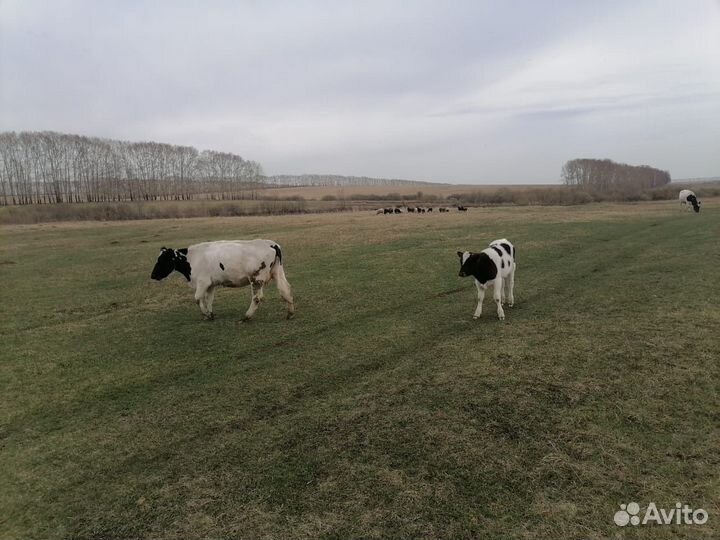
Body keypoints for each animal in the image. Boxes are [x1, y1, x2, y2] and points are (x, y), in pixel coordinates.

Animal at [151, 239, 295, 322]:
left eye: (163, 260)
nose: (152, 275)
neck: (192, 258)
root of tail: (272, 244)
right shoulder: (211, 284)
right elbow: (208, 299)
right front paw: (210, 314)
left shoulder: (203, 282)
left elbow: (197, 298)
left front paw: (206, 314)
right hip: (277, 271)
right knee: (285, 289)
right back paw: (290, 313)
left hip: (256, 279)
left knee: (257, 298)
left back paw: (246, 317)